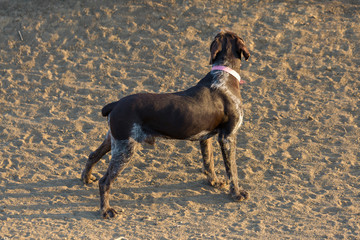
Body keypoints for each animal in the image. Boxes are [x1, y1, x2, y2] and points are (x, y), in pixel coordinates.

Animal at [81, 31, 250, 218]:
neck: (223, 76)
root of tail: (116, 104)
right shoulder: (227, 138)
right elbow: (232, 170)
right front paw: (236, 194)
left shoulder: (206, 138)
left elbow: (209, 163)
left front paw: (214, 182)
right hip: (125, 150)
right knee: (105, 182)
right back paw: (106, 210)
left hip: (114, 141)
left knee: (92, 155)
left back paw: (86, 178)